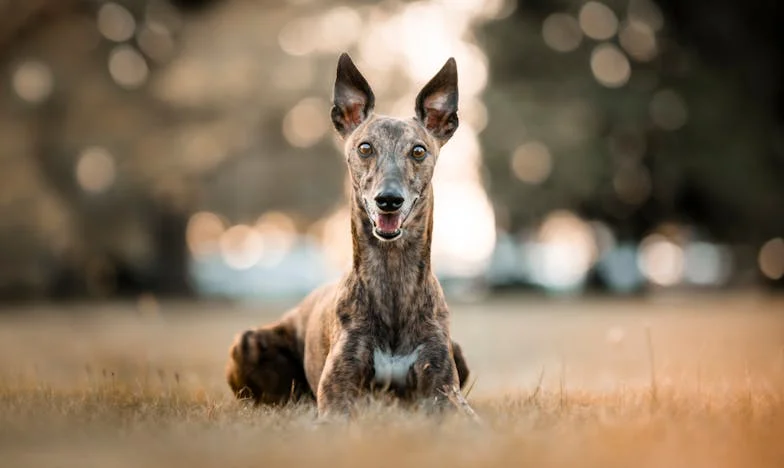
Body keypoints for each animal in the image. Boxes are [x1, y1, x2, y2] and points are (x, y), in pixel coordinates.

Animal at [227, 53, 478, 418]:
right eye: (365, 147)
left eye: (418, 151)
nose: (388, 200)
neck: (392, 280)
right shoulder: (338, 391)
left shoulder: (445, 389)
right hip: (247, 341)